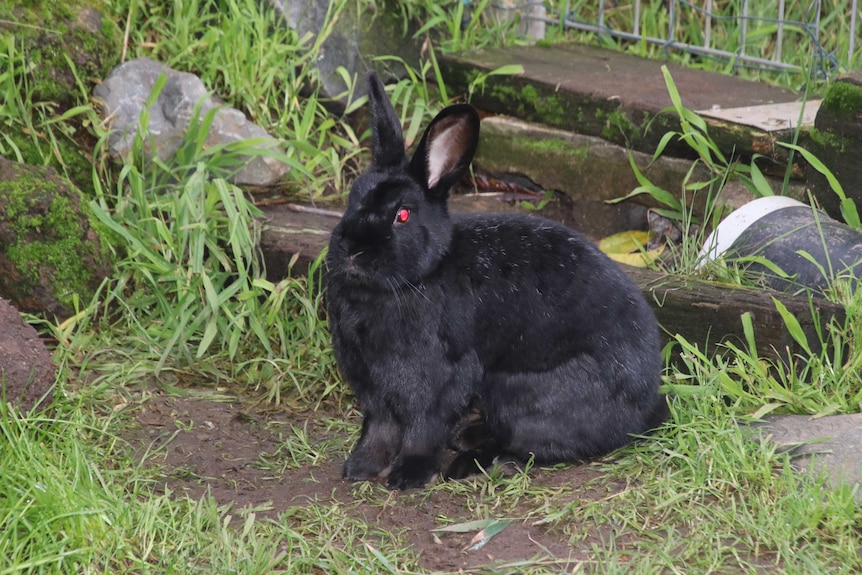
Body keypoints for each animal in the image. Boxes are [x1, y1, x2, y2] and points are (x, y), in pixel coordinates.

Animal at [328, 72, 672, 490]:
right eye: (353, 198)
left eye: (403, 215)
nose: (352, 249)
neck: (417, 278)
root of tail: (640, 413)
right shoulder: (373, 388)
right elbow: (379, 428)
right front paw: (360, 468)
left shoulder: (439, 382)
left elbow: (422, 429)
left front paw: (407, 476)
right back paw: (466, 438)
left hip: (519, 393)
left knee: (532, 444)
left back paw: (468, 462)